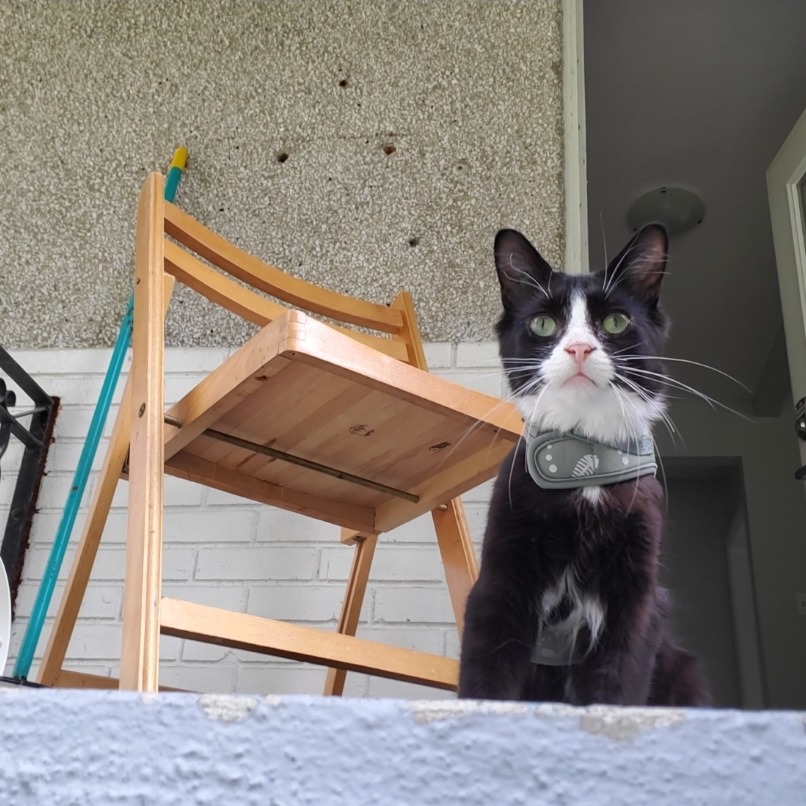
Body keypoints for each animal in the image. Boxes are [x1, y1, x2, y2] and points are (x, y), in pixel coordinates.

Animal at [458, 225, 708, 706]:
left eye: (615, 322)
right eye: (542, 324)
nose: (578, 348)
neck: (584, 463)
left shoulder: (637, 597)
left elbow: (615, 682)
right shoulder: (500, 578)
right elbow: (488, 673)